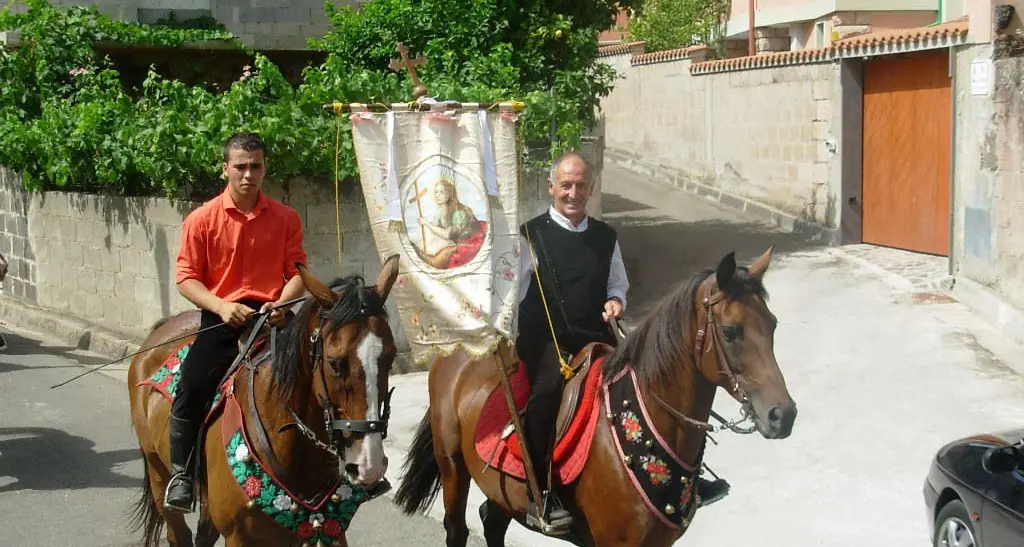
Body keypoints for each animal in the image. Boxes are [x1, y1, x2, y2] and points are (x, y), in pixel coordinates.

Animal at [126, 258, 399, 547]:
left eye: (390, 357)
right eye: (335, 363)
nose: (368, 465)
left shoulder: (329, 530)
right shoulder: (240, 536)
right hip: (158, 472)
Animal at [391, 249, 798, 547]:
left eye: (773, 324)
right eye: (730, 331)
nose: (782, 415)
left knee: (491, 522)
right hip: (452, 467)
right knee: (457, 529)